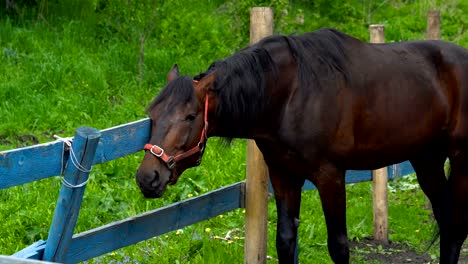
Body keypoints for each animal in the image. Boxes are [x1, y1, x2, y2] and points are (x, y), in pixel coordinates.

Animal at [135, 28, 468, 264]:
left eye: (190, 116)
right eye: (153, 114)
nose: (148, 177)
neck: (290, 95)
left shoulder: (330, 176)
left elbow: (339, 246)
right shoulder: (284, 175)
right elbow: (285, 240)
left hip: (460, 160)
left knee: (456, 226)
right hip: (426, 159)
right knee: (448, 222)